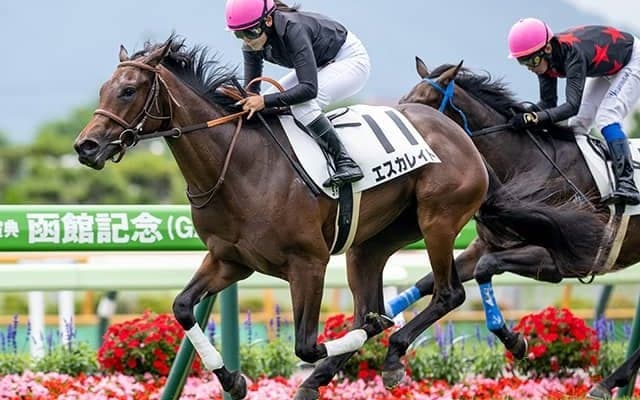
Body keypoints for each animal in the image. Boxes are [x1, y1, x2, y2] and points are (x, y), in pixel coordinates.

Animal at [72, 36, 603, 400]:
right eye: (103, 88)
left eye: (129, 90)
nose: (86, 147)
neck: (238, 164)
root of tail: (463, 137)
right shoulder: (229, 260)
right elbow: (183, 307)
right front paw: (232, 379)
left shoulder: (306, 263)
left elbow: (308, 346)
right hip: (370, 244)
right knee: (384, 295)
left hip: (438, 220)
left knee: (446, 293)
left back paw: (391, 356)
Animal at [393, 57, 640, 399]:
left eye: (423, 104)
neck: (523, 164)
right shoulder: (486, 245)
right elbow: (429, 282)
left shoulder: (560, 259)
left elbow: (485, 269)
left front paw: (515, 341)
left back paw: (607, 383)